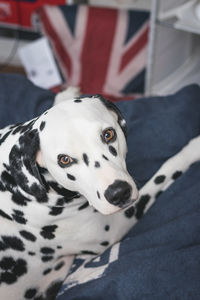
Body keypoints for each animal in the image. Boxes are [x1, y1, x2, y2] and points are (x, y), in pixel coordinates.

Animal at [0, 89, 198, 300]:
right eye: (64, 160)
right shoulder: (116, 226)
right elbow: (166, 169)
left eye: (108, 134)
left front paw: (63, 95)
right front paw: (194, 149)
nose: (119, 193)